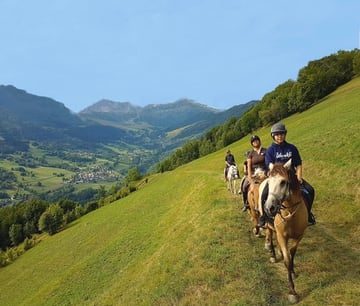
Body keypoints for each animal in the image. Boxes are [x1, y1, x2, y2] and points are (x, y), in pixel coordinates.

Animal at [258, 160, 308, 304]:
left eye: (283, 182)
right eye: (269, 181)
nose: (269, 208)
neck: (290, 213)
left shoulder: (299, 236)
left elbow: (292, 253)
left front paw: (293, 271)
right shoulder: (281, 236)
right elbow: (286, 260)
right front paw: (292, 291)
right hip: (268, 226)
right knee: (270, 236)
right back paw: (273, 255)